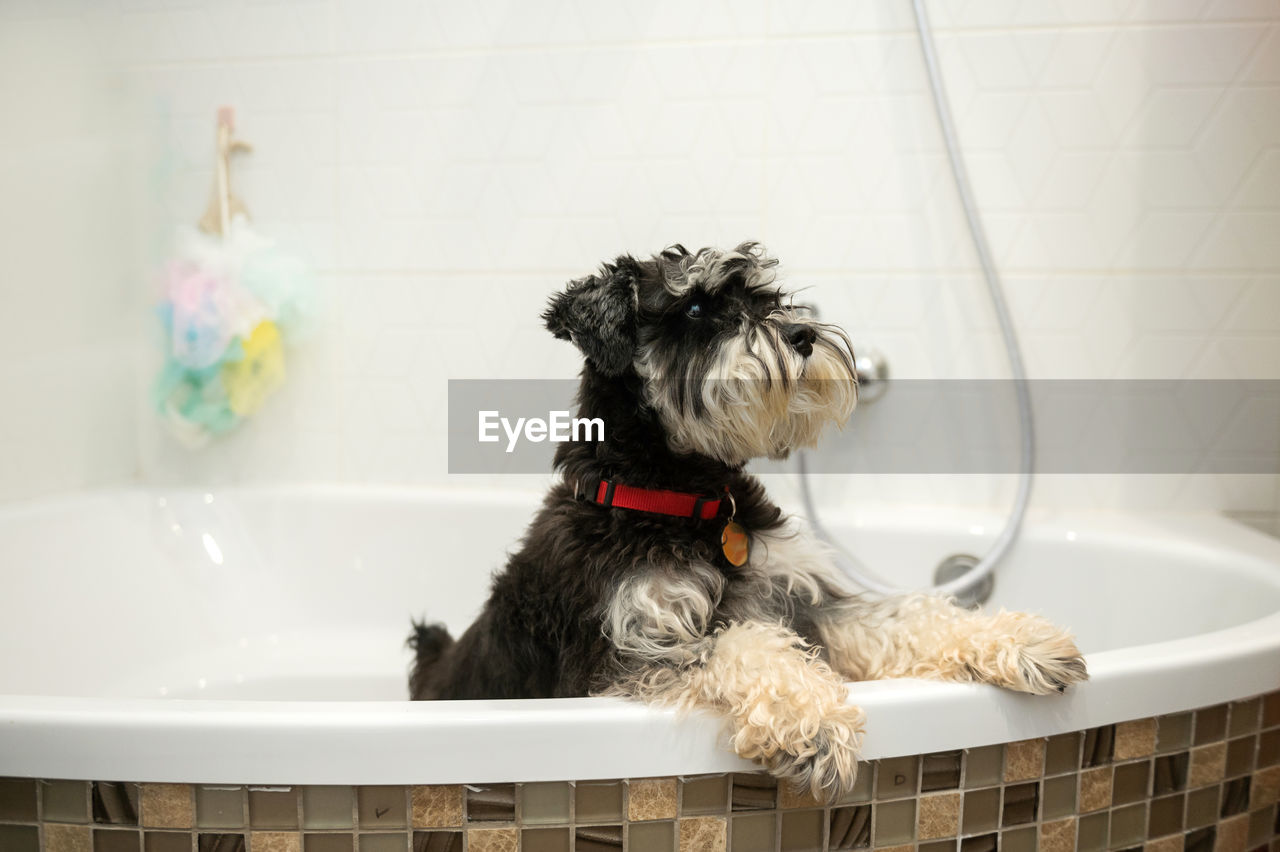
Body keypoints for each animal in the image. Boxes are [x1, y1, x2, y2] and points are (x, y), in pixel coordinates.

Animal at [407, 244, 1080, 798]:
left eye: (766, 298)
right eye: (696, 306)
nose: (803, 333)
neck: (687, 499)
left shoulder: (805, 604)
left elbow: (904, 616)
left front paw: (1019, 640)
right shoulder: (628, 655)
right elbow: (742, 646)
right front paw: (816, 724)